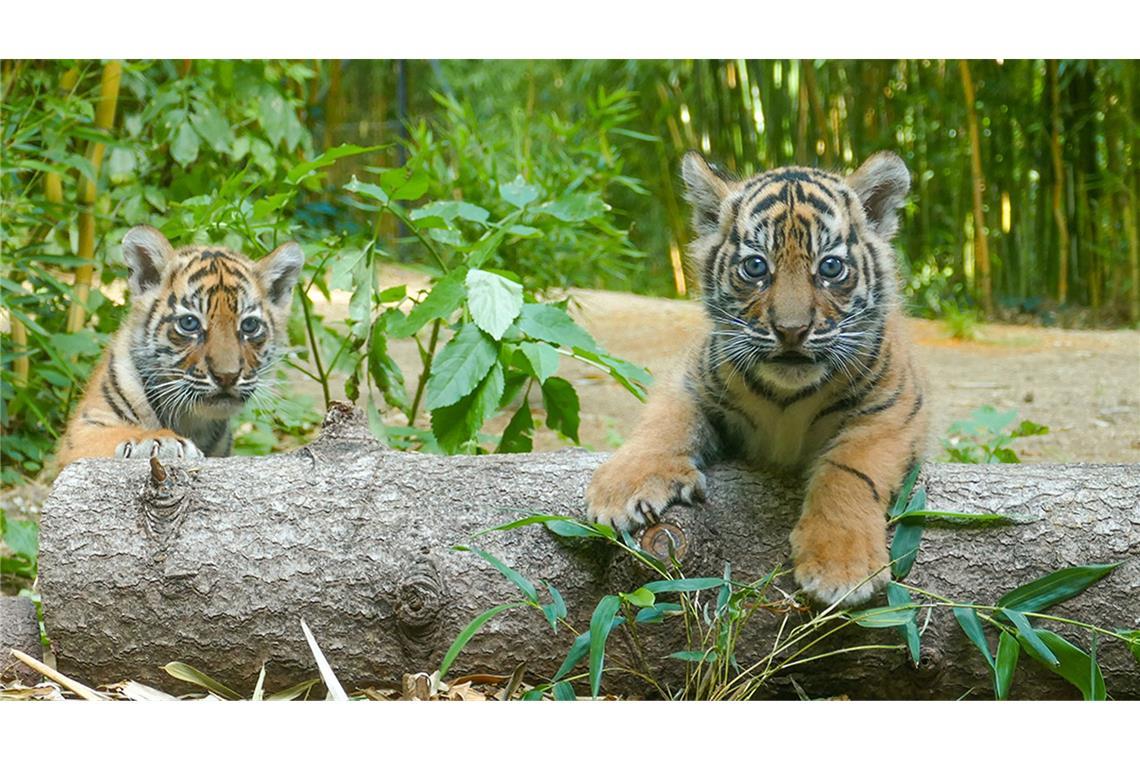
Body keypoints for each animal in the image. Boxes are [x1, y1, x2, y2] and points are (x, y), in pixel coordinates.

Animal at [55, 225, 304, 468]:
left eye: (249, 326)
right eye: (189, 323)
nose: (227, 377)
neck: (191, 420)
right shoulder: (84, 429)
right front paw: (159, 441)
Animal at [586, 151, 929, 607]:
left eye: (830, 267)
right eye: (755, 267)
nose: (791, 330)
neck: (788, 395)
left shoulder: (893, 410)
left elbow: (848, 470)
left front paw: (842, 566)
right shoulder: (690, 383)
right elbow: (663, 426)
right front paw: (621, 489)